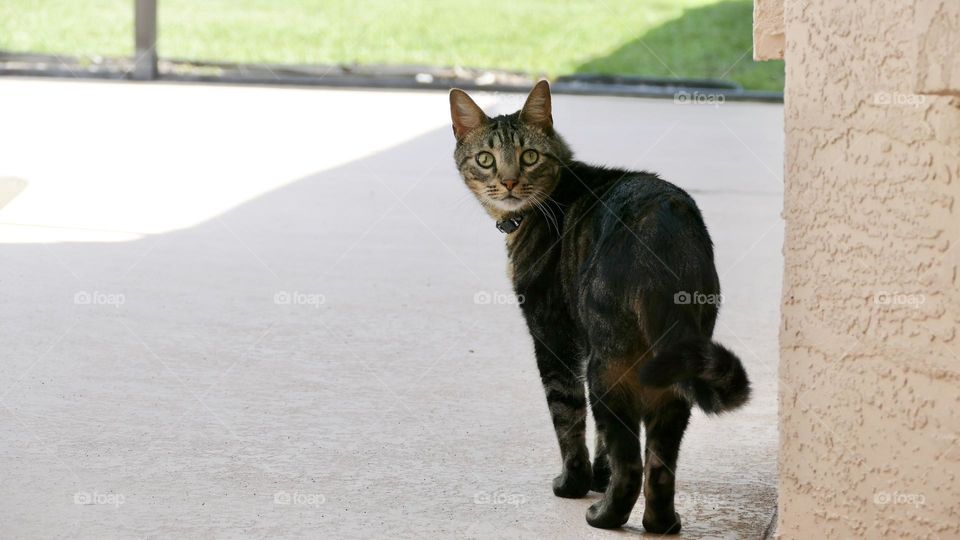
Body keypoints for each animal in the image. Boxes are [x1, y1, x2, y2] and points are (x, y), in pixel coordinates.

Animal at [450, 80, 752, 532]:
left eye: (529, 156)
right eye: (485, 159)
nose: (508, 182)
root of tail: (663, 225)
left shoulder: (553, 336)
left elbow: (567, 415)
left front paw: (575, 483)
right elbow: (601, 437)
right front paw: (598, 477)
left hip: (607, 366)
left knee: (631, 463)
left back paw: (605, 516)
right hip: (668, 365)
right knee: (658, 465)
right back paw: (661, 524)